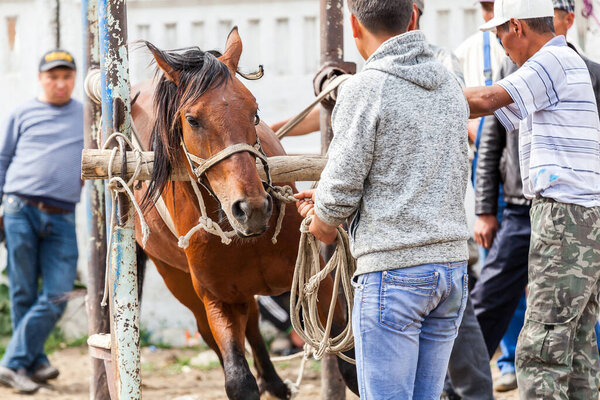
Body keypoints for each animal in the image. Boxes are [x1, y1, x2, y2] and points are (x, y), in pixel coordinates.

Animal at [131, 28, 356, 400]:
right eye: (192, 120)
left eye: (254, 111)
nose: (252, 208)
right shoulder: (217, 299)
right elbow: (237, 379)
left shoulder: (317, 284)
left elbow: (352, 364)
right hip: (181, 284)